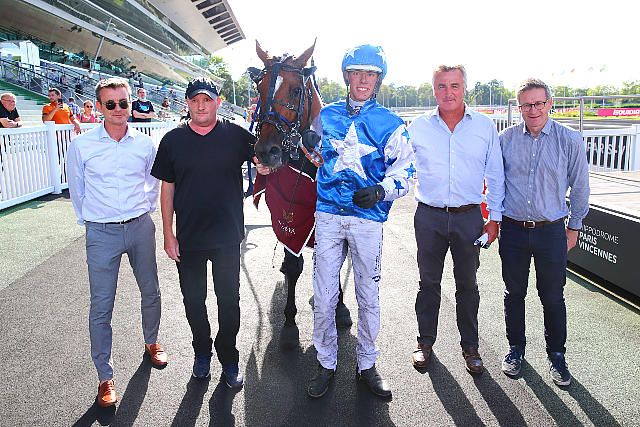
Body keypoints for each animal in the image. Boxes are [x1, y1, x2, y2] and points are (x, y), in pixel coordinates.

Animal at [249, 41, 352, 348]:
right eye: (259, 88)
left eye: (296, 90)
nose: (266, 151)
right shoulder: (291, 213)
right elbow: (293, 265)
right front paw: (289, 324)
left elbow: (335, 261)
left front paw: (339, 307)